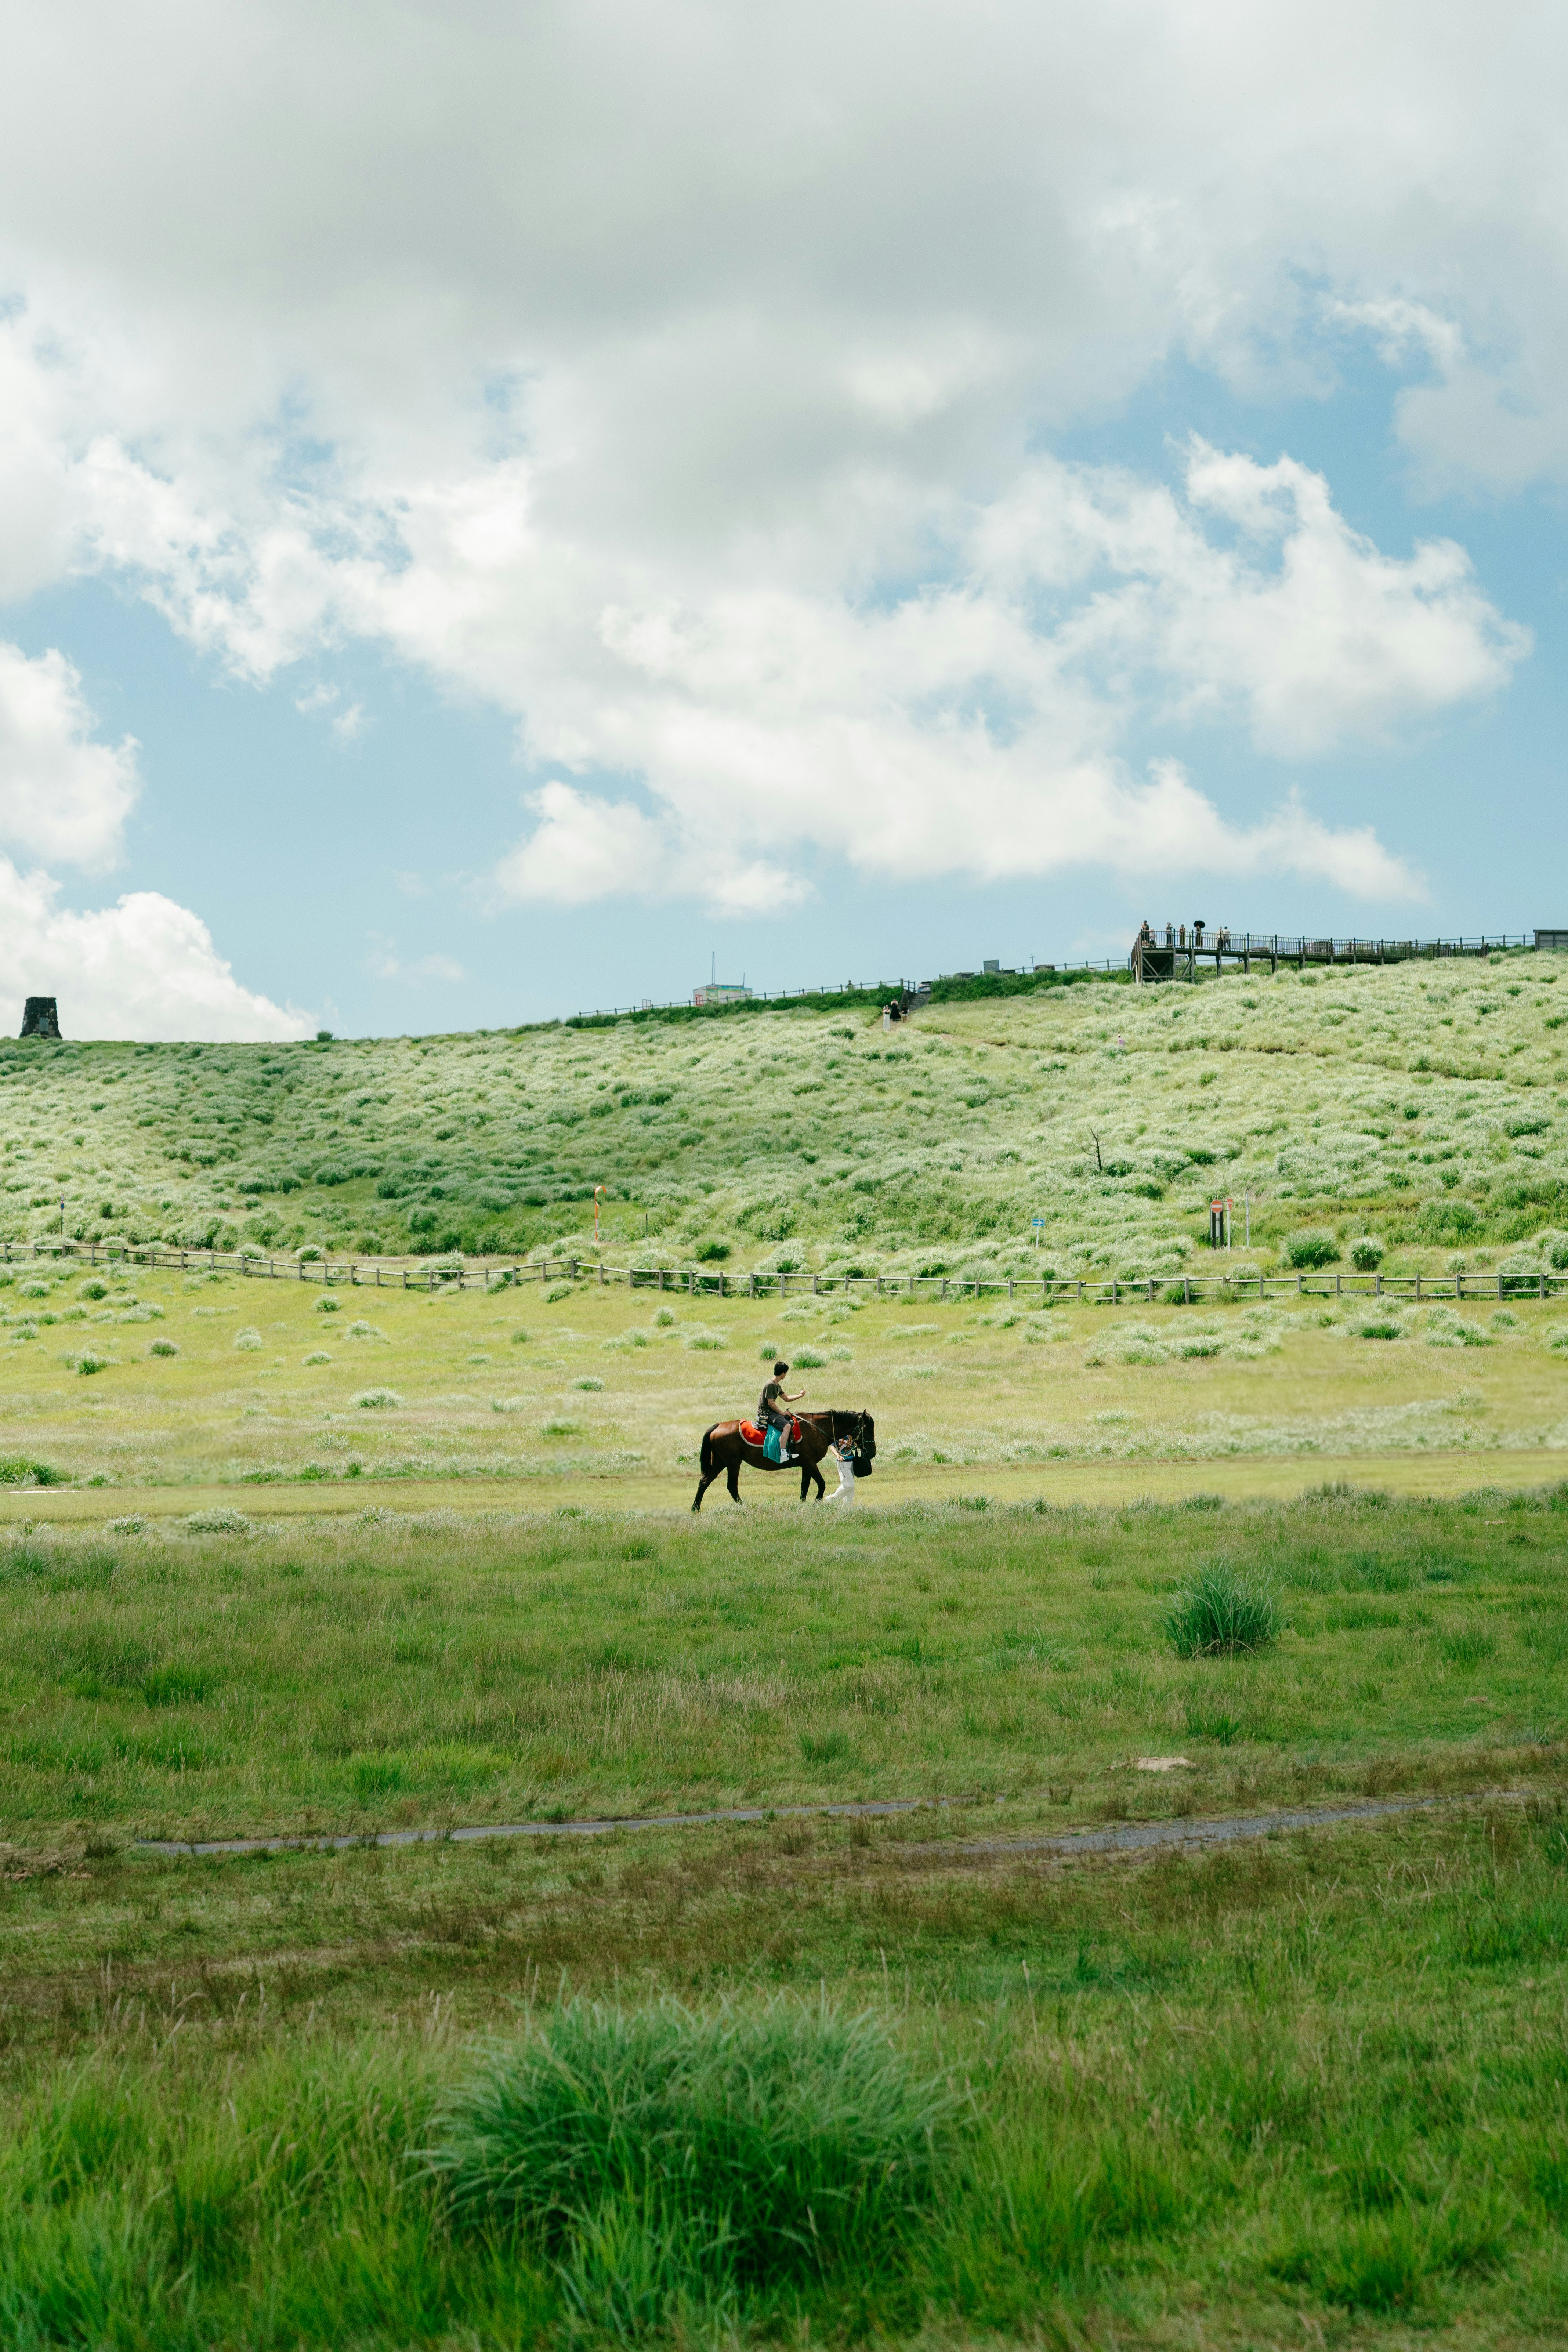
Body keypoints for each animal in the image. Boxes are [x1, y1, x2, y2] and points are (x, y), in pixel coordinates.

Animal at [691, 1408, 877, 1511]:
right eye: (869, 1429)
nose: (872, 1453)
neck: (817, 1429)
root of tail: (719, 1425)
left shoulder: (805, 1465)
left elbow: (805, 1486)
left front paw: (803, 1504)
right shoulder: (810, 1463)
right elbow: (821, 1484)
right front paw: (816, 1503)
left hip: (720, 1462)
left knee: (704, 1481)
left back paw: (695, 1508)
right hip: (733, 1463)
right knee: (731, 1486)